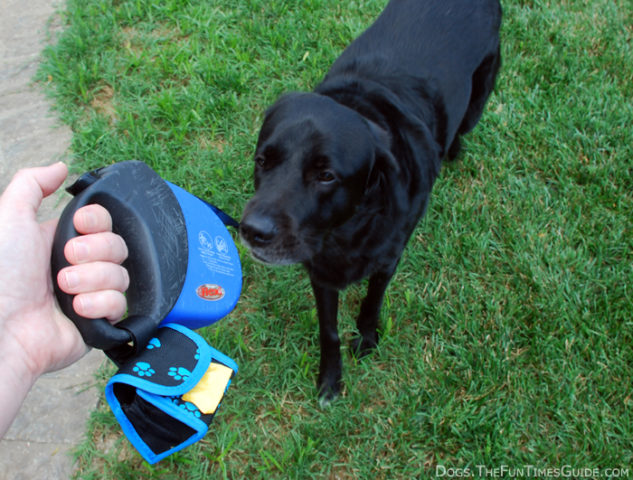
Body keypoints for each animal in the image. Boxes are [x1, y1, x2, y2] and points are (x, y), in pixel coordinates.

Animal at [239, 0, 502, 404]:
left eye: (326, 175)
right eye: (262, 160)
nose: (253, 231)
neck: (346, 229)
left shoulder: (388, 258)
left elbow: (371, 302)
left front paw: (366, 340)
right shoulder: (321, 273)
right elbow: (328, 329)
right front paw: (330, 379)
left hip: (479, 98)